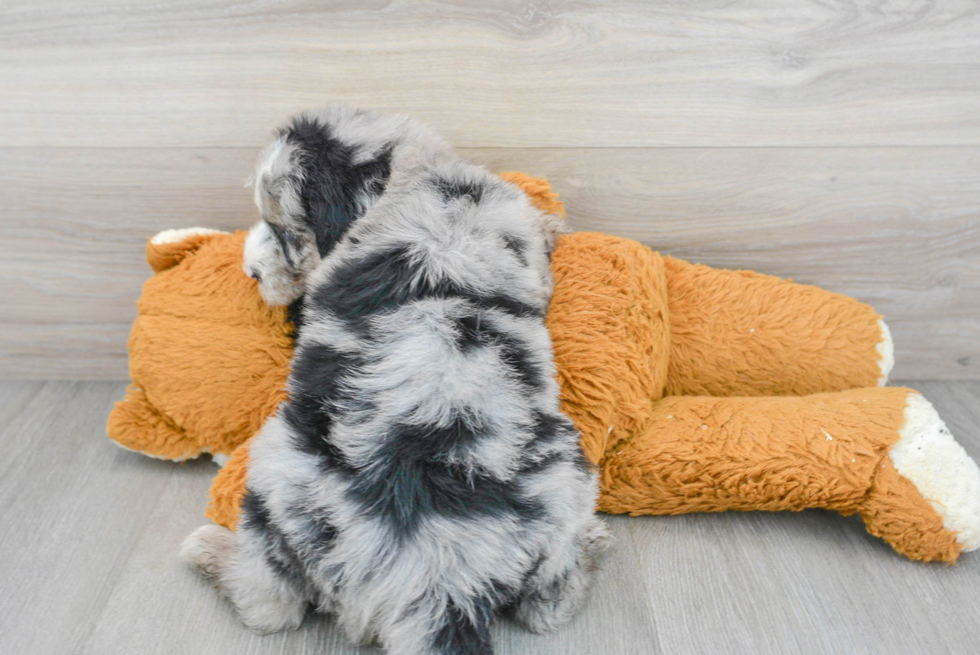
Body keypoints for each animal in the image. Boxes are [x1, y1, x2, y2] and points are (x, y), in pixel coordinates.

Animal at [182, 110, 604, 655]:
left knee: (269, 604)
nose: (249, 271)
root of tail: (438, 581)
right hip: (568, 474)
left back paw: (208, 549)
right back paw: (592, 543)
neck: (418, 176)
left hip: (276, 475)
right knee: (547, 607)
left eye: (281, 228)